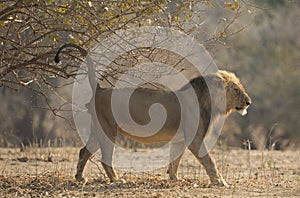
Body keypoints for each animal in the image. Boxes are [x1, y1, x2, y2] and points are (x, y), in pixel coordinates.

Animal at [55, 43, 251, 187]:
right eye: (236, 89)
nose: (249, 102)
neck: (208, 100)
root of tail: (99, 89)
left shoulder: (180, 139)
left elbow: (175, 160)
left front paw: (174, 179)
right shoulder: (194, 140)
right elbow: (209, 161)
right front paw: (220, 182)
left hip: (99, 130)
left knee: (83, 151)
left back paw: (80, 178)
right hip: (109, 129)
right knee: (105, 158)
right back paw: (116, 180)